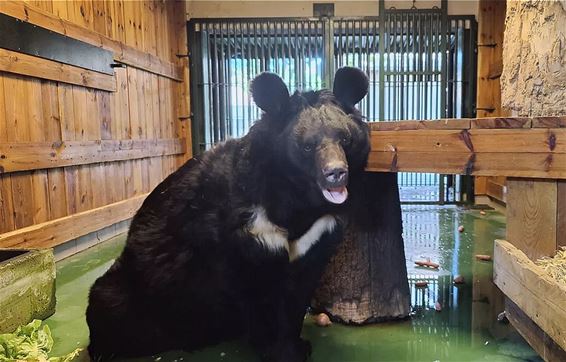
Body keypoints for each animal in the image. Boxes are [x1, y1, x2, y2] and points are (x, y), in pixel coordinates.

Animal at [86, 66, 372, 360]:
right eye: (306, 146)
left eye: (345, 139)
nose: (336, 173)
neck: (295, 197)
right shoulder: (243, 234)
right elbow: (257, 292)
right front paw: (279, 350)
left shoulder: (316, 235)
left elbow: (299, 288)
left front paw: (297, 344)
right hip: (130, 290)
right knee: (108, 307)